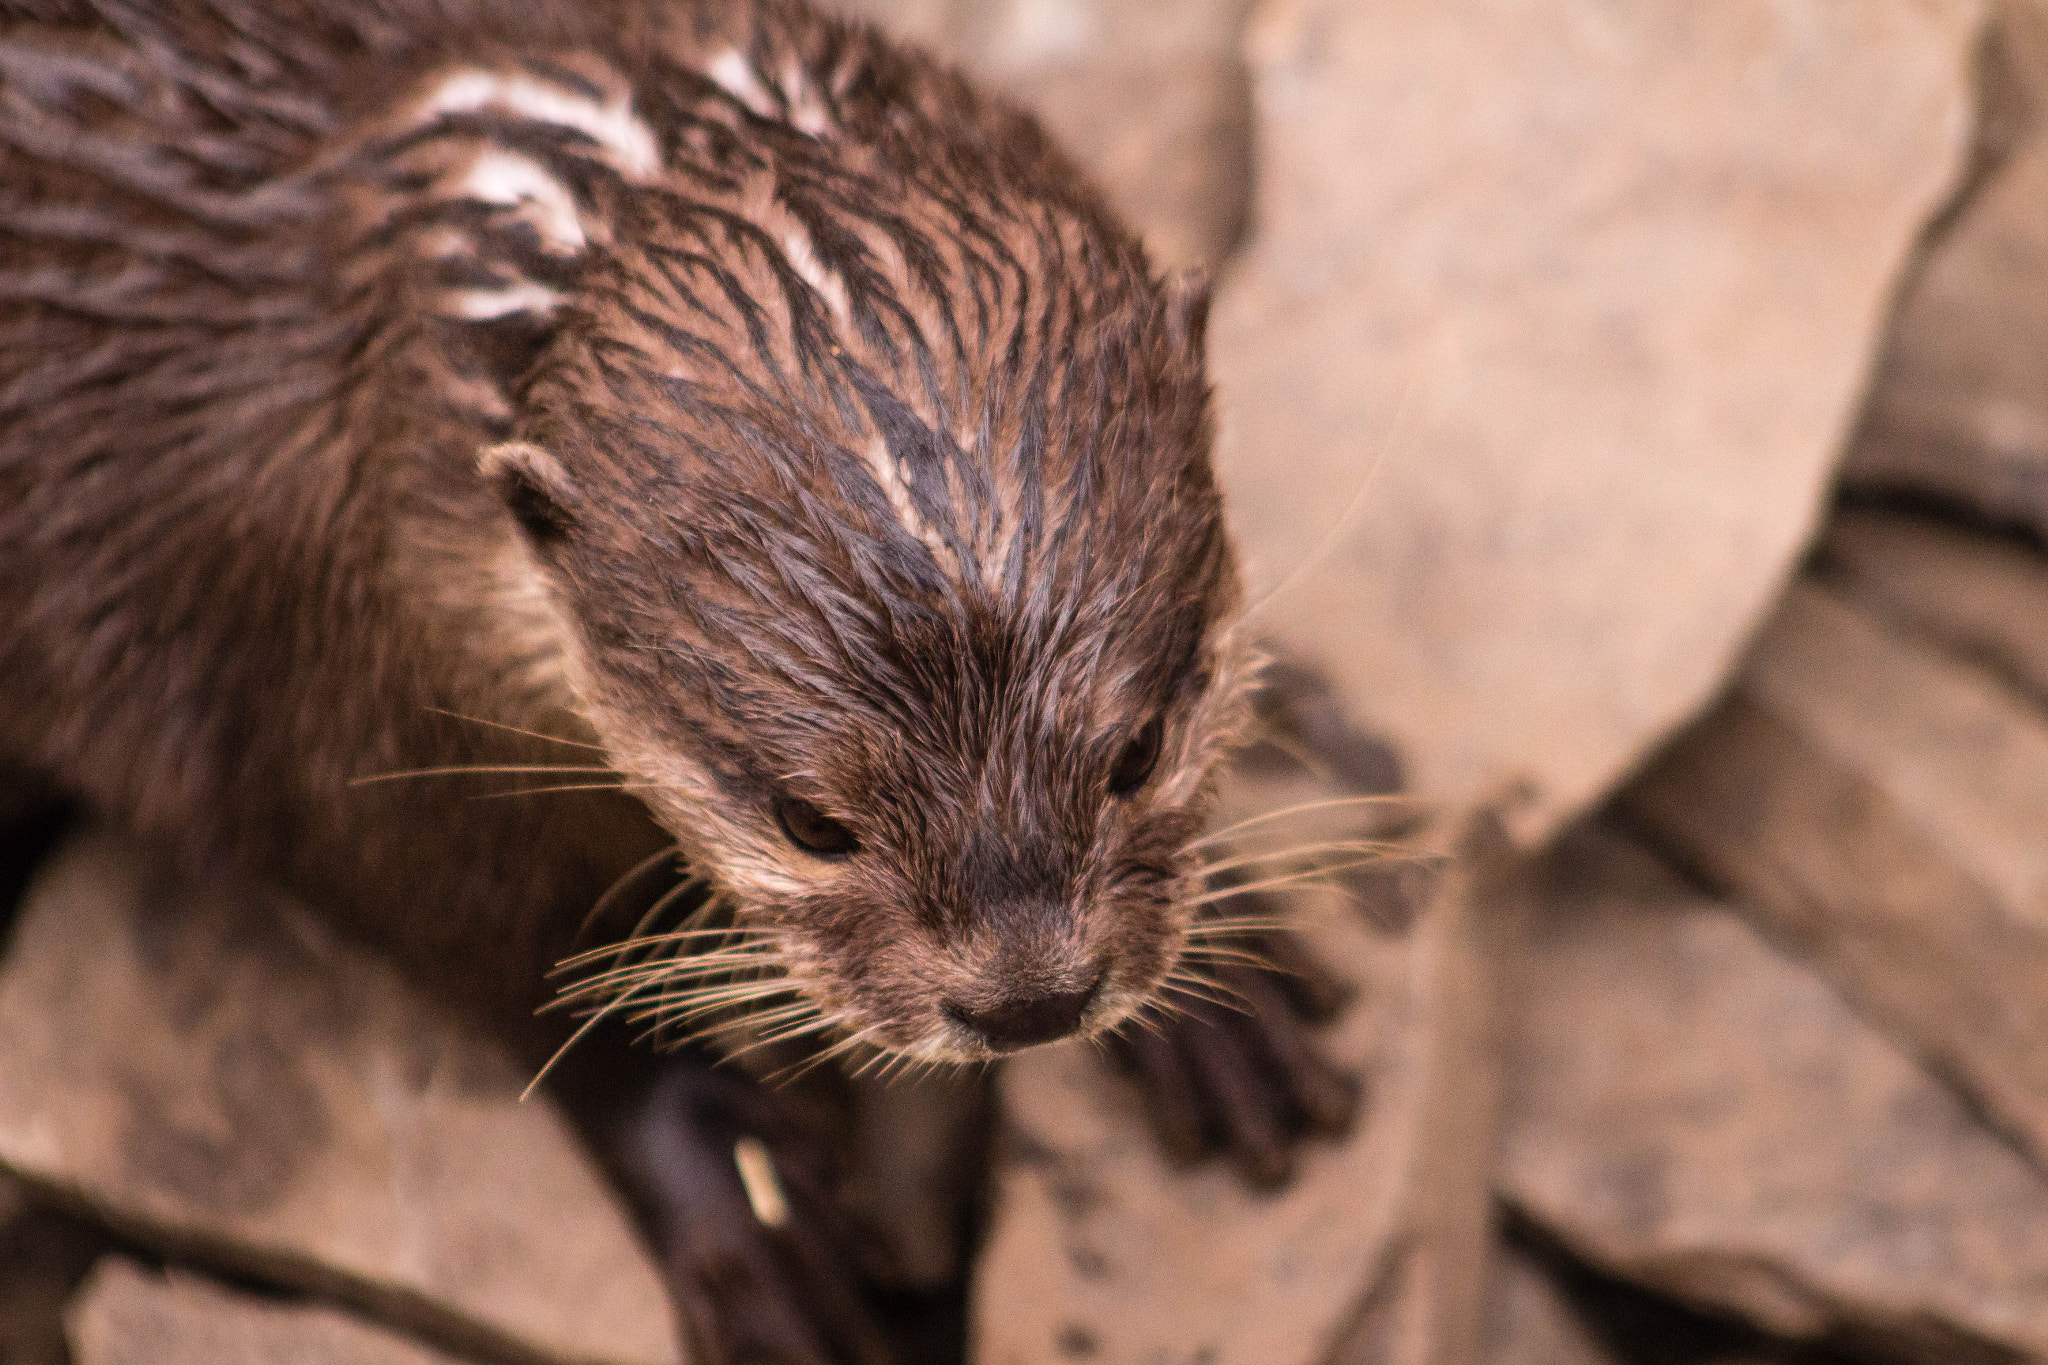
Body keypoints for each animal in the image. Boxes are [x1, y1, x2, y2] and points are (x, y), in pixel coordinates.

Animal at [0, 1, 1359, 1359]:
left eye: (1137, 750)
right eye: (810, 822)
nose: (1030, 1000)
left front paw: (1220, 991)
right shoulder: (302, 693)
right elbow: (503, 951)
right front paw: (735, 1189)